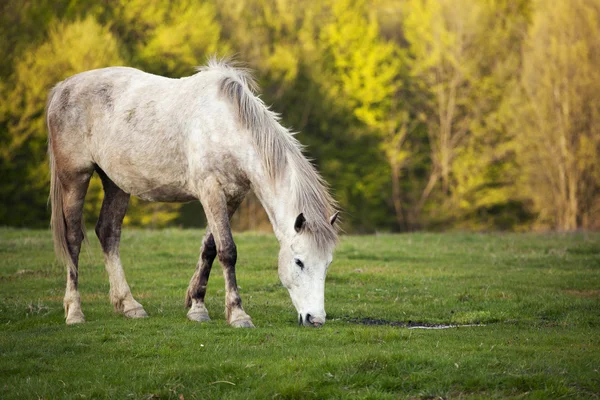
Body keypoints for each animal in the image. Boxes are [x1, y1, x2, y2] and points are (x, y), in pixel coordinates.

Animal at [47, 59, 338, 328]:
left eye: (327, 264)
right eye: (299, 262)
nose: (315, 319)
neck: (228, 127)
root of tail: (62, 88)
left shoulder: (232, 196)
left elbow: (210, 248)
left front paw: (197, 306)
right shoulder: (210, 190)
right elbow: (227, 250)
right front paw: (238, 314)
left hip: (115, 182)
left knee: (108, 233)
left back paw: (129, 305)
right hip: (75, 177)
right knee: (73, 239)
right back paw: (74, 312)